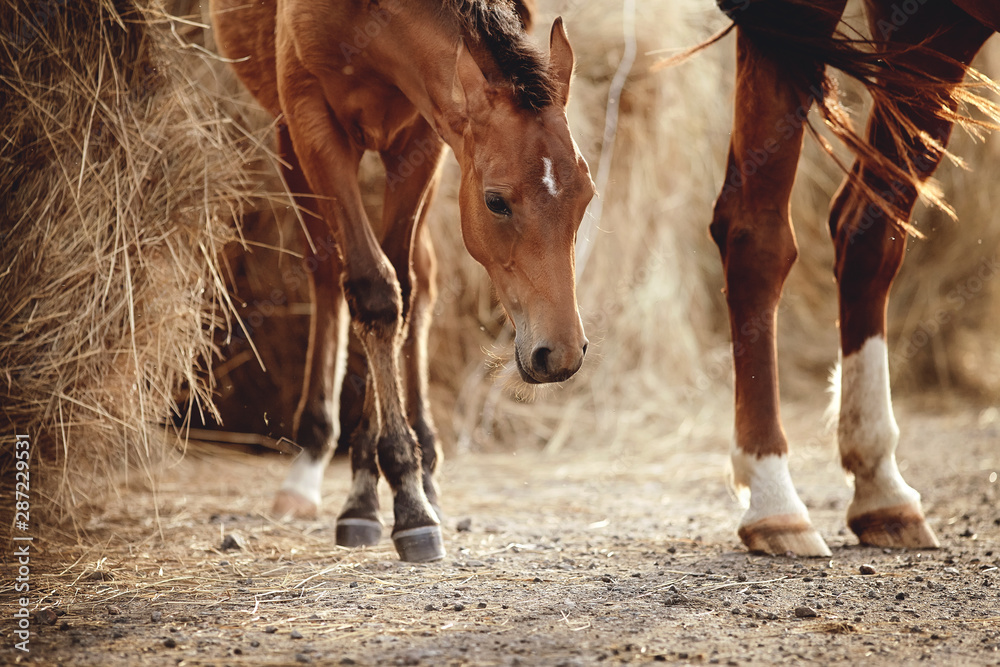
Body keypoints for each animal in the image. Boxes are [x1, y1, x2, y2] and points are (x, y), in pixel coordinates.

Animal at [210, 0, 595, 562]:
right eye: (496, 202)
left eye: (587, 196)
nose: (559, 354)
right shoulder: (312, 120)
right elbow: (372, 291)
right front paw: (392, 499)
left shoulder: (425, 134)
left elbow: (401, 290)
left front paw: (392, 489)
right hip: (289, 141)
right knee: (326, 271)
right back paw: (310, 463)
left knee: (421, 277)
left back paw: (426, 461)